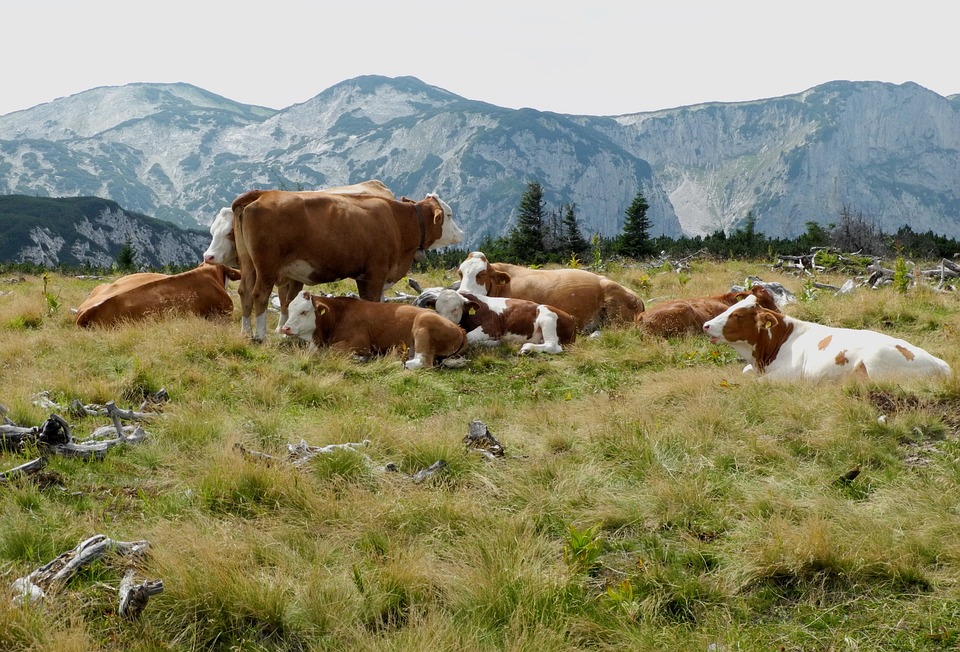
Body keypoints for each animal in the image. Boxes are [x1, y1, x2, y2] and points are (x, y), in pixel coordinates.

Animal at [231, 188, 460, 342]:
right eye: (449, 215)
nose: (461, 233)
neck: (398, 222)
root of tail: (264, 193)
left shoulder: (367, 275)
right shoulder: (375, 274)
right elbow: (372, 301)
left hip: (247, 263)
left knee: (244, 292)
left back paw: (245, 332)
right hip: (266, 267)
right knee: (260, 294)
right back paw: (260, 336)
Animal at [280, 292, 466, 370]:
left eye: (304, 311)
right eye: (290, 309)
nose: (285, 328)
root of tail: (459, 328)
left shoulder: (360, 342)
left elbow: (333, 350)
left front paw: (362, 358)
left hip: (423, 325)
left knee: (423, 362)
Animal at [436, 288, 576, 354]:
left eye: (455, 309)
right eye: (437, 309)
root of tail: (571, 317)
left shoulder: (492, 327)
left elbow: (469, 336)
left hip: (547, 315)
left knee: (554, 346)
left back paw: (527, 348)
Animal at [700, 292, 948, 380]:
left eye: (738, 315)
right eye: (732, 307)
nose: (706, 325)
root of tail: (940, 363)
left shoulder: (790, 375)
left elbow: (757, 383)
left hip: (877, 363)